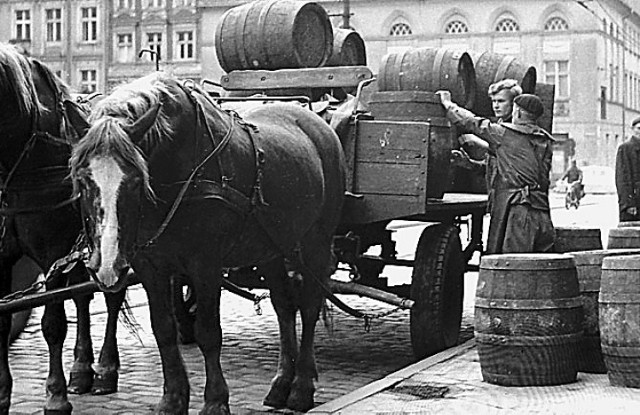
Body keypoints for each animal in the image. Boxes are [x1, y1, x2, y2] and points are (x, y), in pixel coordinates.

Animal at [0, 44, 127, 414]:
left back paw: (105, 370)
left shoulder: (51, 254)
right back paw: (82, 369)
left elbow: (53, 324)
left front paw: (55, 397)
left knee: (110, 298)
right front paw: (2, 394)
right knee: (84, 297)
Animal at [68, 73, 348, 414]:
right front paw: (173, 398)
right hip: (270, 247)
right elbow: (163, 329)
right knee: (284, 306)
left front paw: (215, 400)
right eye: (83, 180)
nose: (107, 267)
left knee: (308, 306)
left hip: (316, 241)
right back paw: (282, 383)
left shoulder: (206, 265)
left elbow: (209, 332)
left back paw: (301, 387)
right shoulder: (150, 266)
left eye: (134, 180)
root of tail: (319, 124)